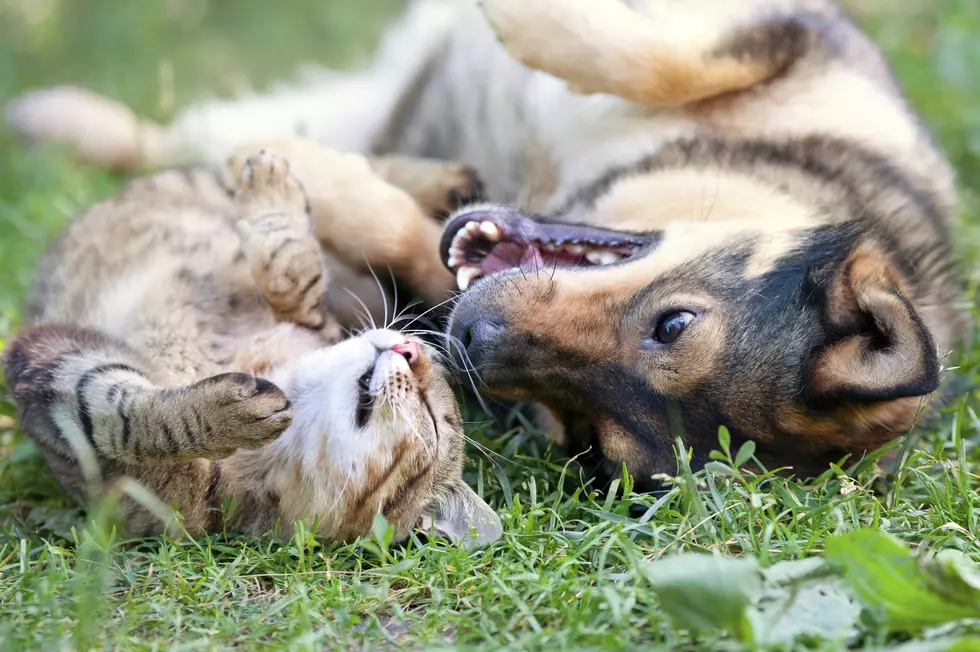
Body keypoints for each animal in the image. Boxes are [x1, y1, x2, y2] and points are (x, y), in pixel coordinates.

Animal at [3, 0, 968, 486]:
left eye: (590, 434)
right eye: (674, 324)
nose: (468, 339)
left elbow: (404, 235)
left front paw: (319, 182)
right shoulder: (794, 36)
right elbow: (661, 53)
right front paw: (528, 17)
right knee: (168, 131)